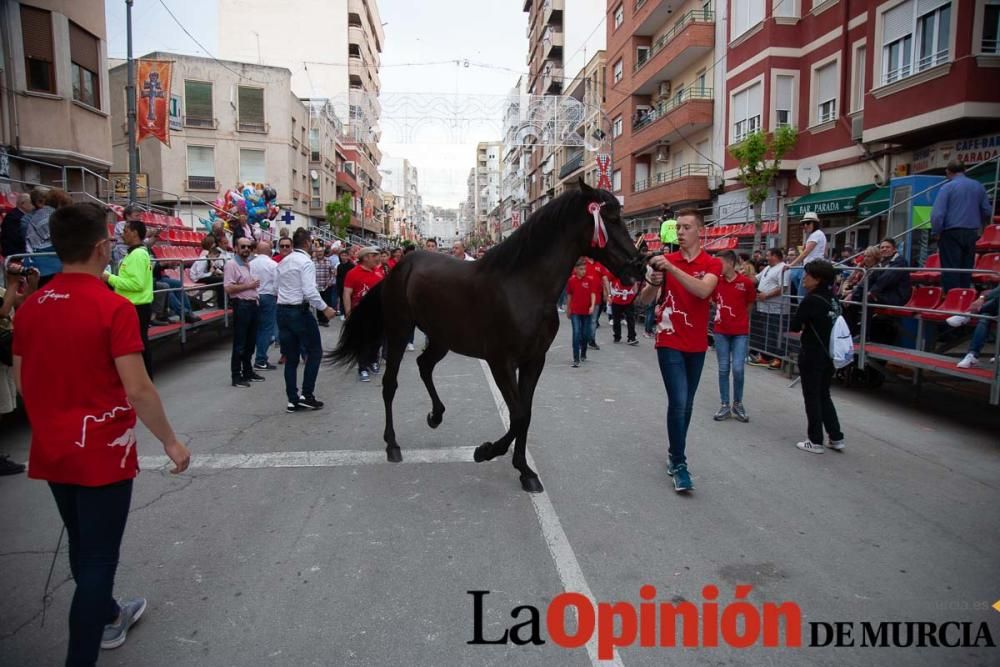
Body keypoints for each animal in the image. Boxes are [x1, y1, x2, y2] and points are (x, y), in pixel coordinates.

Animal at [324, 180, 644, 494]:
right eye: (611, 218)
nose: (639, 267)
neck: (524, 286)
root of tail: (397, 268)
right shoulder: (500, 362)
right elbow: (518, 415)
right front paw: (485, 451)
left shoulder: (533, 360)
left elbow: (526, 413)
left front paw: (524, 471)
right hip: (399, 332)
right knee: (391, 383)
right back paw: (392, 444)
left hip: (441, 338)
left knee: (425, 366)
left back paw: (435, 416)